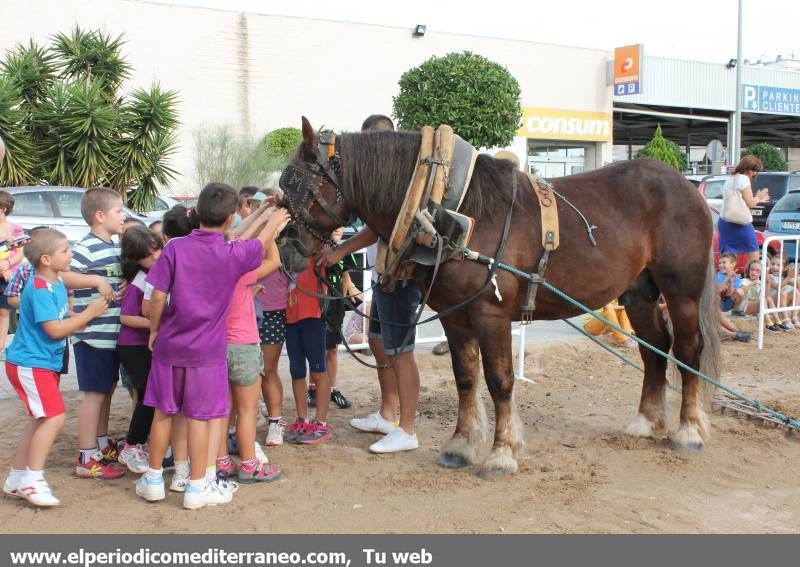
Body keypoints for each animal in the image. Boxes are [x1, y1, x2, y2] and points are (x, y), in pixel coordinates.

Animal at [284, 117, 720, 478]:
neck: (451, 209)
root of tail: (687, 188)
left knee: (686, 350)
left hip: (680, 291)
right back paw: (646, 422)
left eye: (296, 185)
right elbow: (465, 378)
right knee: (653, 349)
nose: (287, 248)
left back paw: (689, 431)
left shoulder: (490, 315)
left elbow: (499, 380)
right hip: (639, 293)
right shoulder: (455, 316)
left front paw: (501, 453)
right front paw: (461, 446)